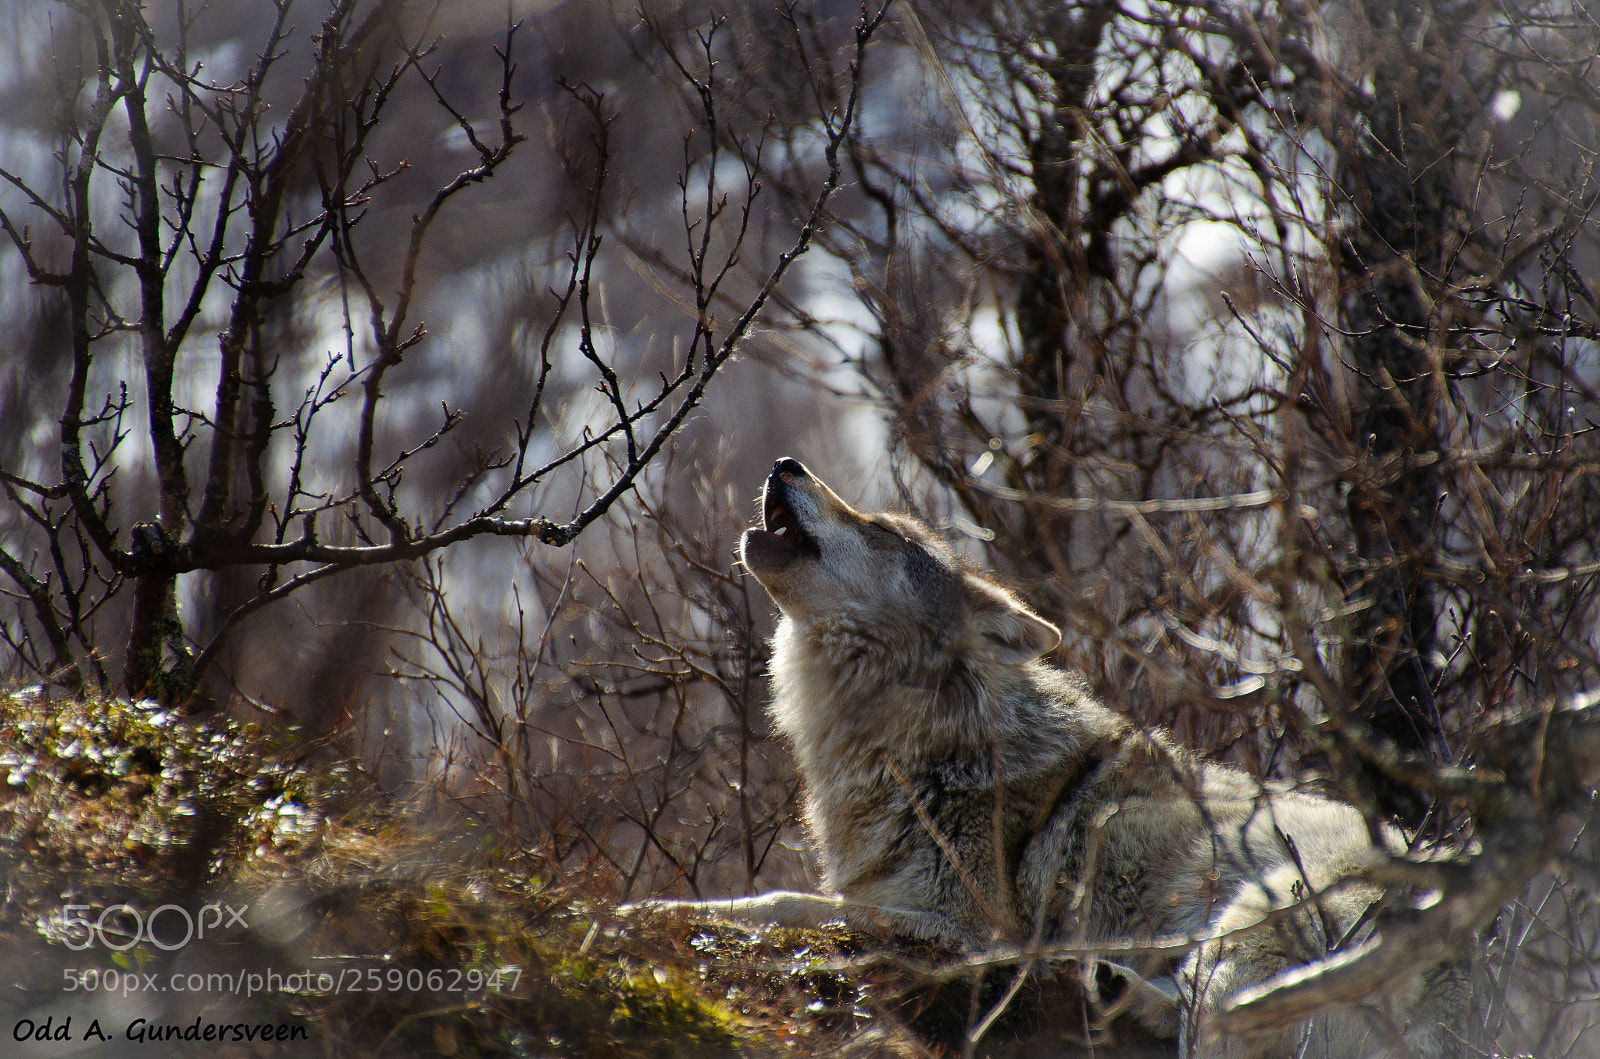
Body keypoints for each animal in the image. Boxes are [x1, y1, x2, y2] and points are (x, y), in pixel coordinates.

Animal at [634, 457, 1467, 1058]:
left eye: (886, 534)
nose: (786, 463)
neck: (924, 744)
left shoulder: (962, 928)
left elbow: (777, 901)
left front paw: (654, 910)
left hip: (1251, 921)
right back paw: (1107, 982)